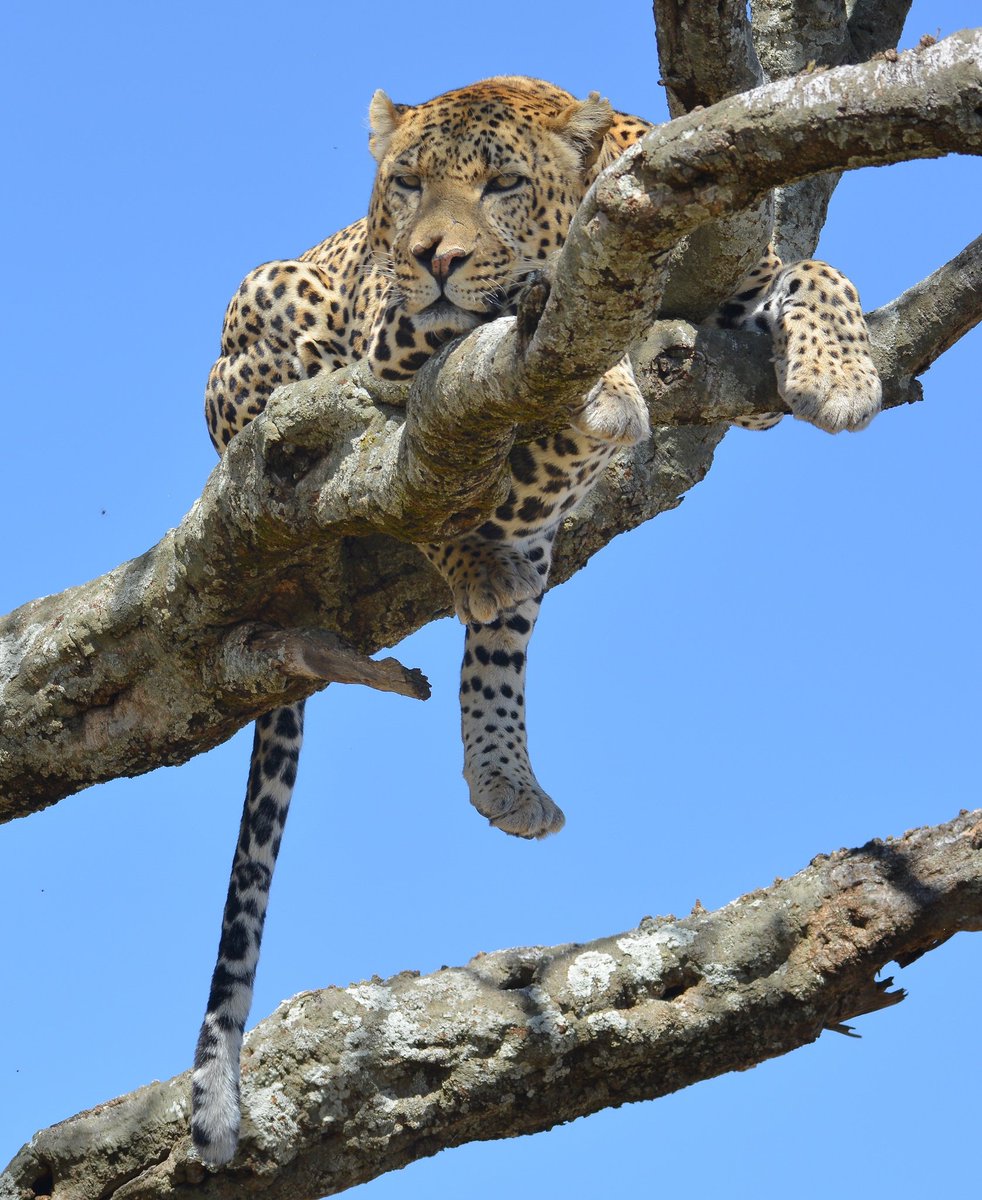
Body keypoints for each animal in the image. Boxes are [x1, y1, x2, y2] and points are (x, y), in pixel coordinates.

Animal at [191, 75, 881, 1165]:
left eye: (503, 184)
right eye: (408, 185)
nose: (431, 253)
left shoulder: (735, 290)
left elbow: (816, 271)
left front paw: (841, 370)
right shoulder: (395, 327)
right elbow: (503, 336)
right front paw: (591, 367)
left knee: (501, 590)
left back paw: (503, 763)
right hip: (267, 327)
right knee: (399, 483)